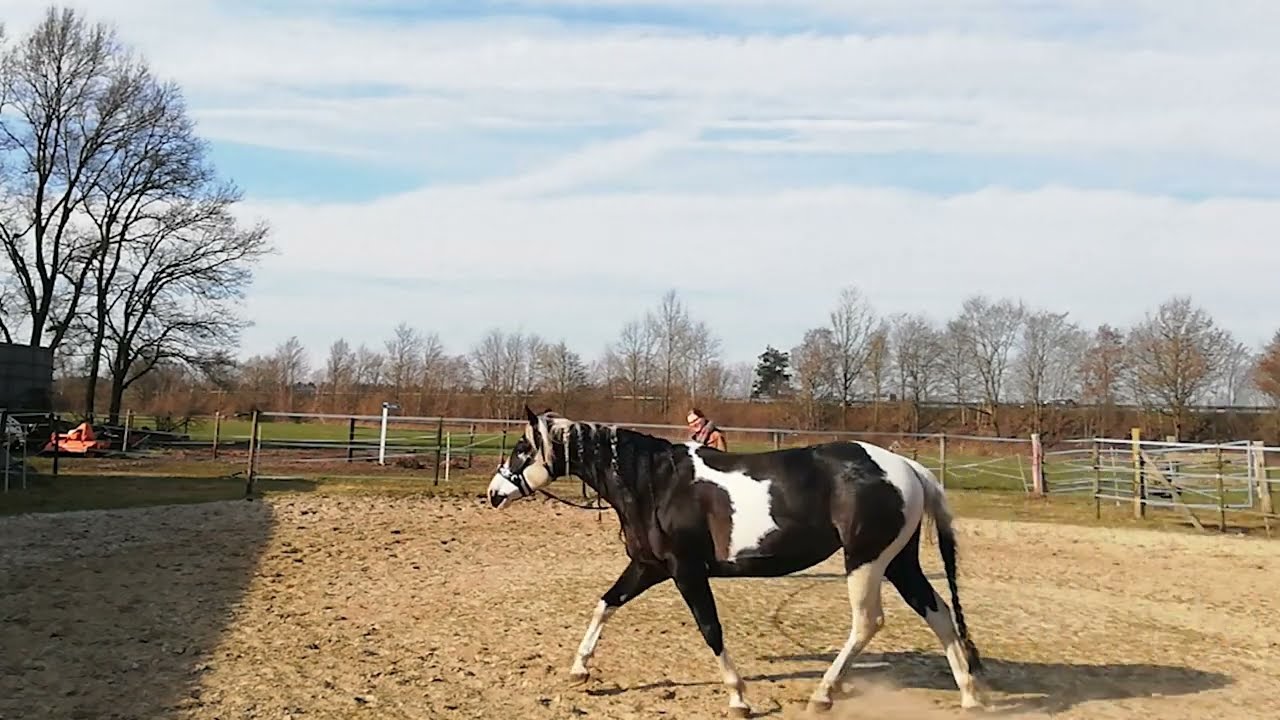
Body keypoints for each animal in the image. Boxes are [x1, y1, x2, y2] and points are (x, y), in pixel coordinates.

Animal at [486, 407, 985, 717]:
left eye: (522, 450)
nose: (493, 493)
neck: (655, 484)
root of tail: (905, 467)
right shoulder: (649, 567)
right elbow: (605, 604)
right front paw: (580, 668)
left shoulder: (685, 571)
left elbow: (710, 628)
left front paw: (739, 698)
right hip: (899, 561)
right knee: (939, 613)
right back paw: (969, 696)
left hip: (865, 561)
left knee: (868, 622)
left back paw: (824, 694)